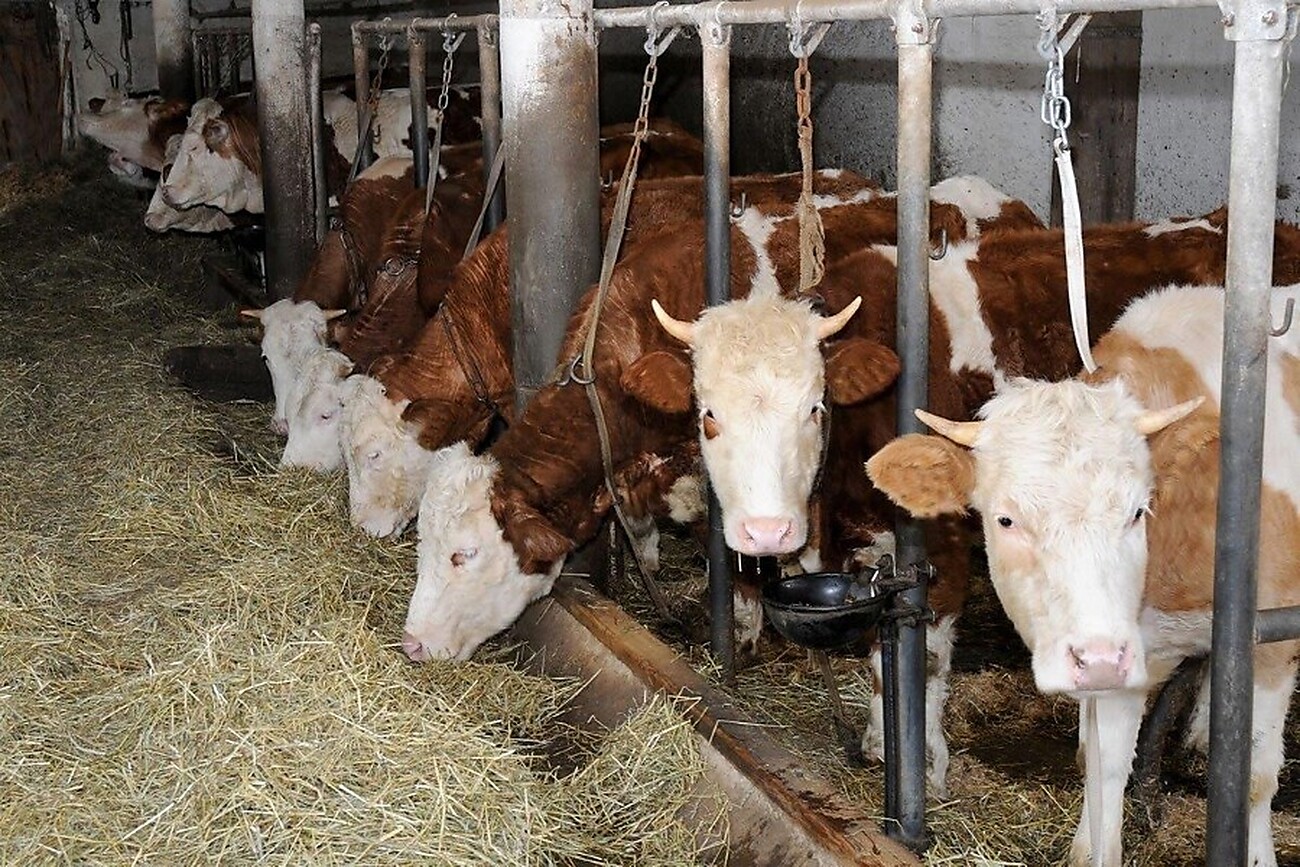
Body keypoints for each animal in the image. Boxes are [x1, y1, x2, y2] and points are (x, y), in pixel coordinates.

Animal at [864, 283, 1300, 867]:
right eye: (1005, 519)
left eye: (1138, 511)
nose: (1095, 657)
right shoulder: (1125, 651)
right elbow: (1103, 766)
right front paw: (1091, 846)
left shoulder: (1270, 638)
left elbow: (1254, 775)